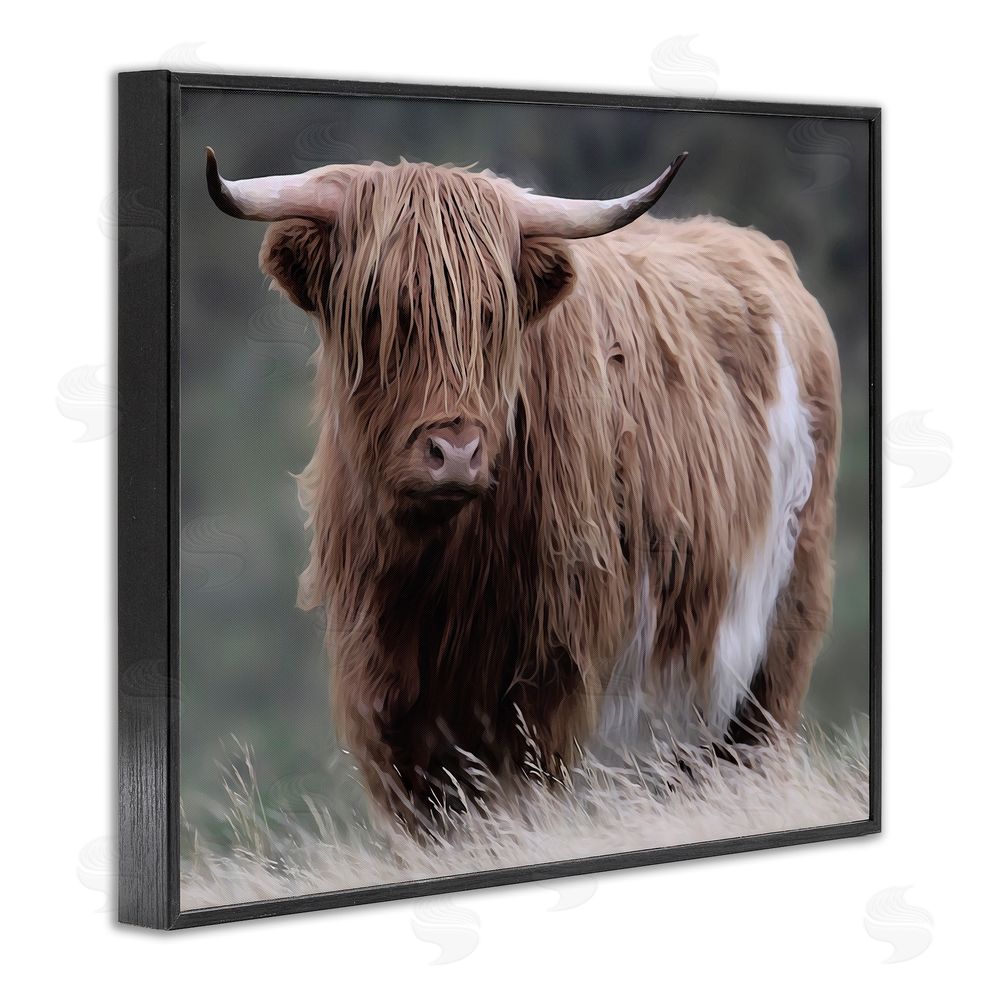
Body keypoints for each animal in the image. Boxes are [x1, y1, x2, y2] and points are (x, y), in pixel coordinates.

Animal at [206, 147, 841, 827]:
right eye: (379, 313)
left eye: (492, 316)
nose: (455, 452)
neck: (436, 580)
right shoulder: (386, 710)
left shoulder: (548, 692)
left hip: (771, 651)